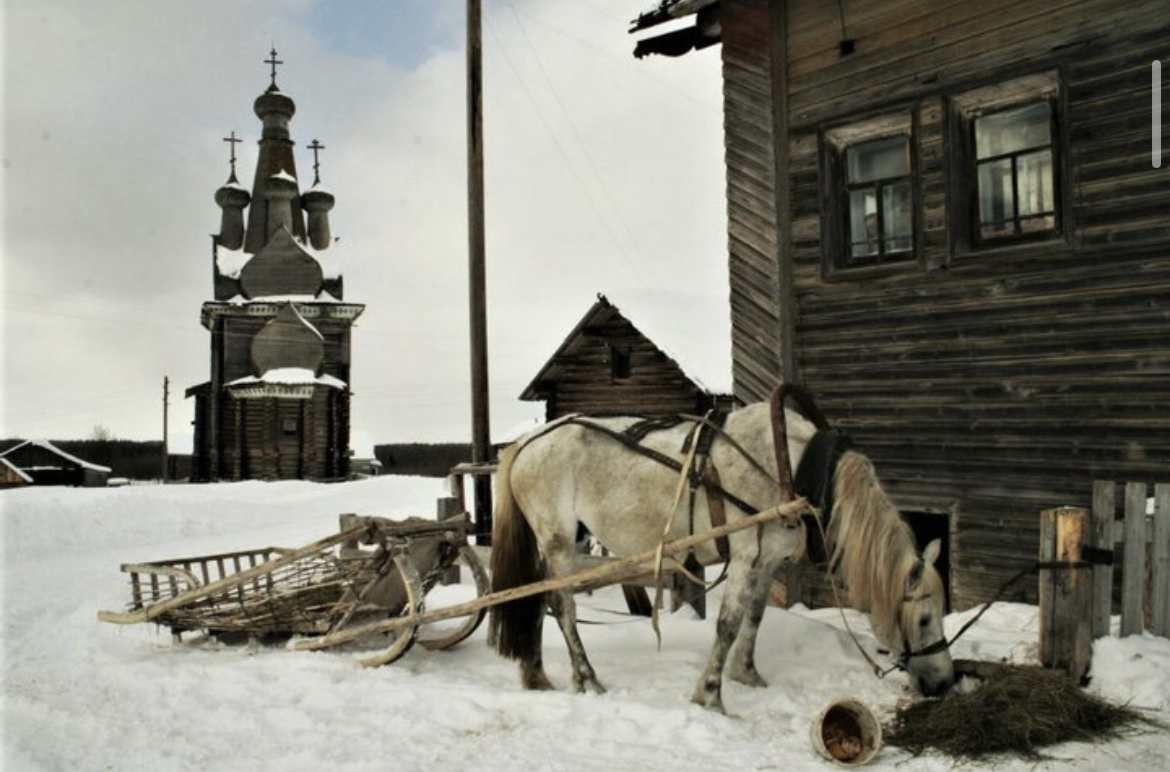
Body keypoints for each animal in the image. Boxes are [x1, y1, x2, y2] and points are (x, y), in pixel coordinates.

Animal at [489, 404, 954, 711]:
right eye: (924, 618)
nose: (945, 682)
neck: (790, 465)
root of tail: (527, 443)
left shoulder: (768, 559)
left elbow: (754, 617)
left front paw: (747, 675)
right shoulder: (748, 552)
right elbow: (728, 625)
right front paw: (710, 695)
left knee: (534, 598)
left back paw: (536, 675)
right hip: (558, 539)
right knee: (562, 605)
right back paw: (586, 677)